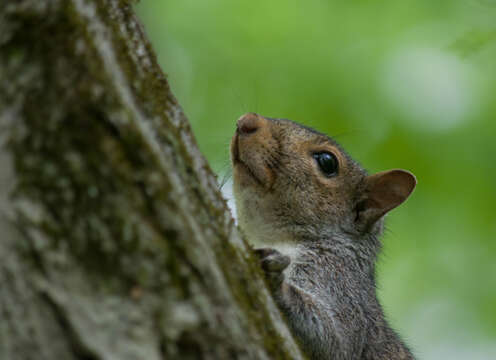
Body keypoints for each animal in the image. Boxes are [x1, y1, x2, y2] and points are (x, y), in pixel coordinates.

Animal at [231, 113, 416, 360]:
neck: (275, 237)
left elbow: (336, 342)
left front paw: (279, 283)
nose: (246, 121)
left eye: (327, 162)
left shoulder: (337, 278)